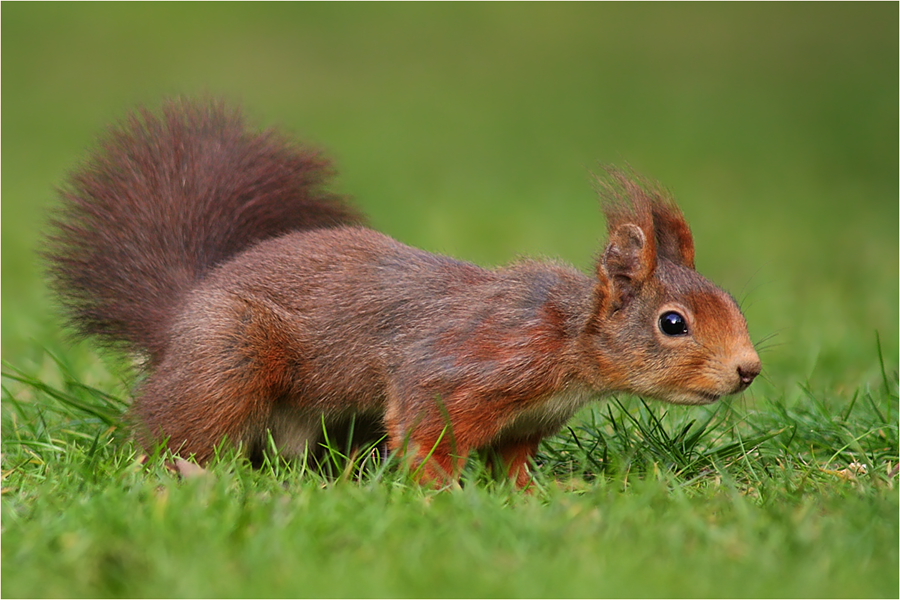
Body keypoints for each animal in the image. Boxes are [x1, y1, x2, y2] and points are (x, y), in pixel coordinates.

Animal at [47, 98, 760, 488]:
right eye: (673, 323)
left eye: (732, 302)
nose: (749, 370)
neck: (569, 341)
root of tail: (183, 314)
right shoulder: (467, 366)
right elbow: (427, 433)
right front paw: (442, 497)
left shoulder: (529, 420)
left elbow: (514, 463)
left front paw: (537, 499)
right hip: (231, 358)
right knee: (179, 427)